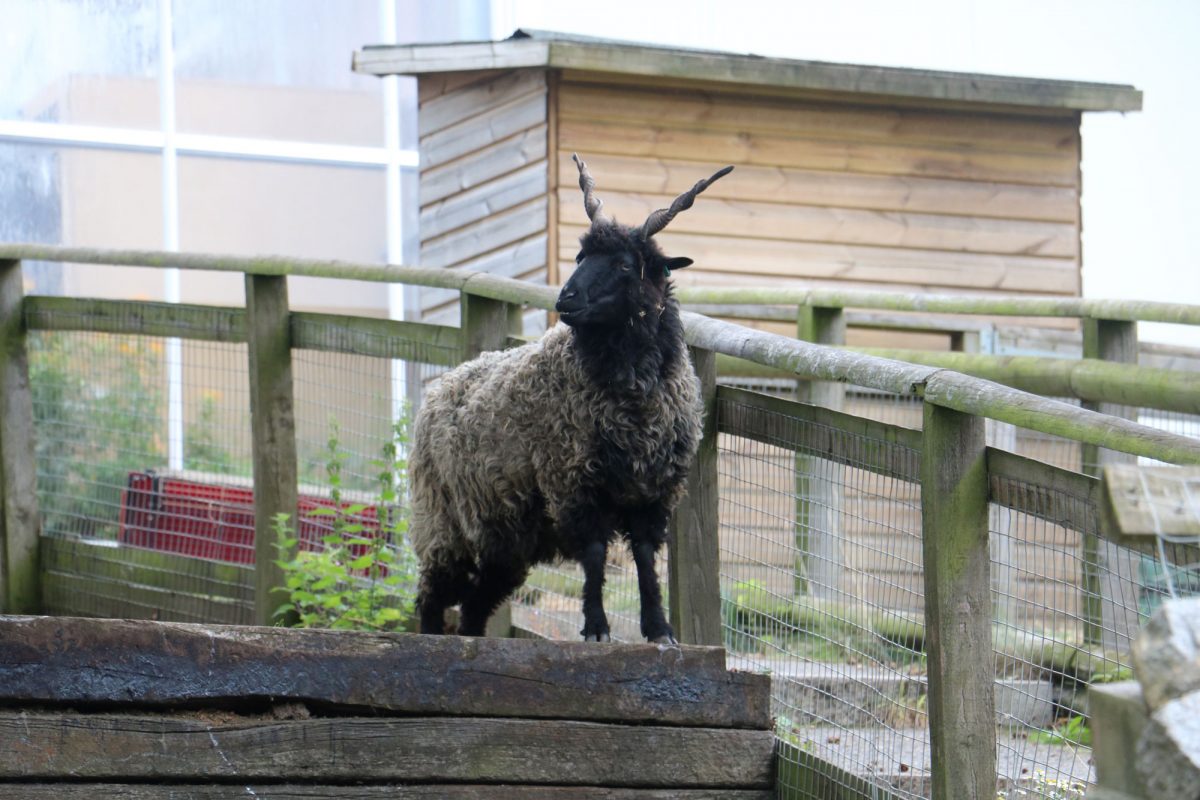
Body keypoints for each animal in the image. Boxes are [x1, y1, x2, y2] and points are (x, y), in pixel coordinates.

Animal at [410, 154, 733, 643]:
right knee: (432, 593)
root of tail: (438, 389)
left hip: (506, 538)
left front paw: (658, 627)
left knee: (474, 606)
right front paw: (596, 628)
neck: (630, 396)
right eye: (581, 257)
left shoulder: (653, 489)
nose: (566, 298)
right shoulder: (572, 480)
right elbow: (596, 555)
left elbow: (644, 556)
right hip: (441, 521)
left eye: (624, 264)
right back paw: (431, 640)